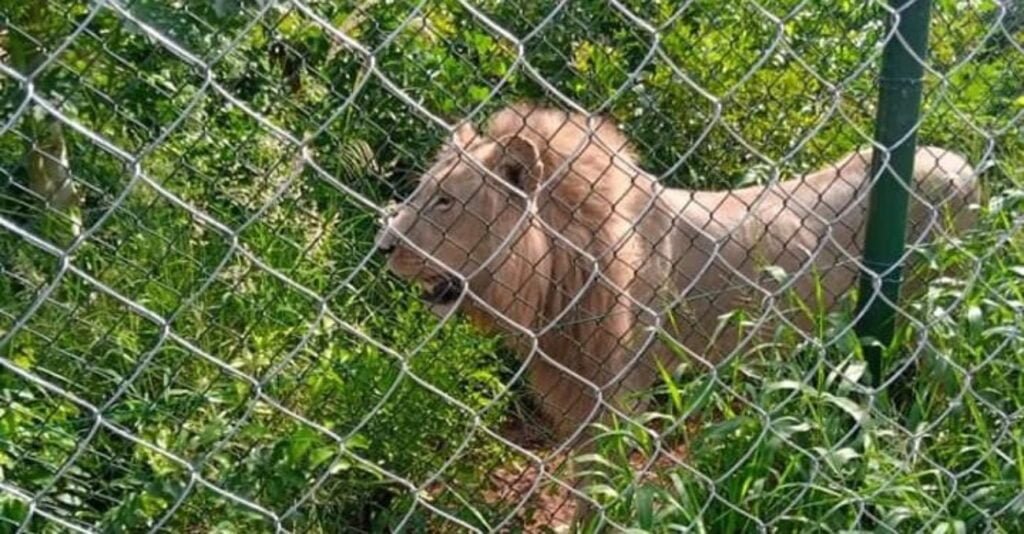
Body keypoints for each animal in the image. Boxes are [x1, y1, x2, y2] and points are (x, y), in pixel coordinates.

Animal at [374, 103, 974, 440]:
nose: (381, 247)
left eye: (445, 201)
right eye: (422, 190)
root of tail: (962, 162)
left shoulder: (619, 390)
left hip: (932, 317)